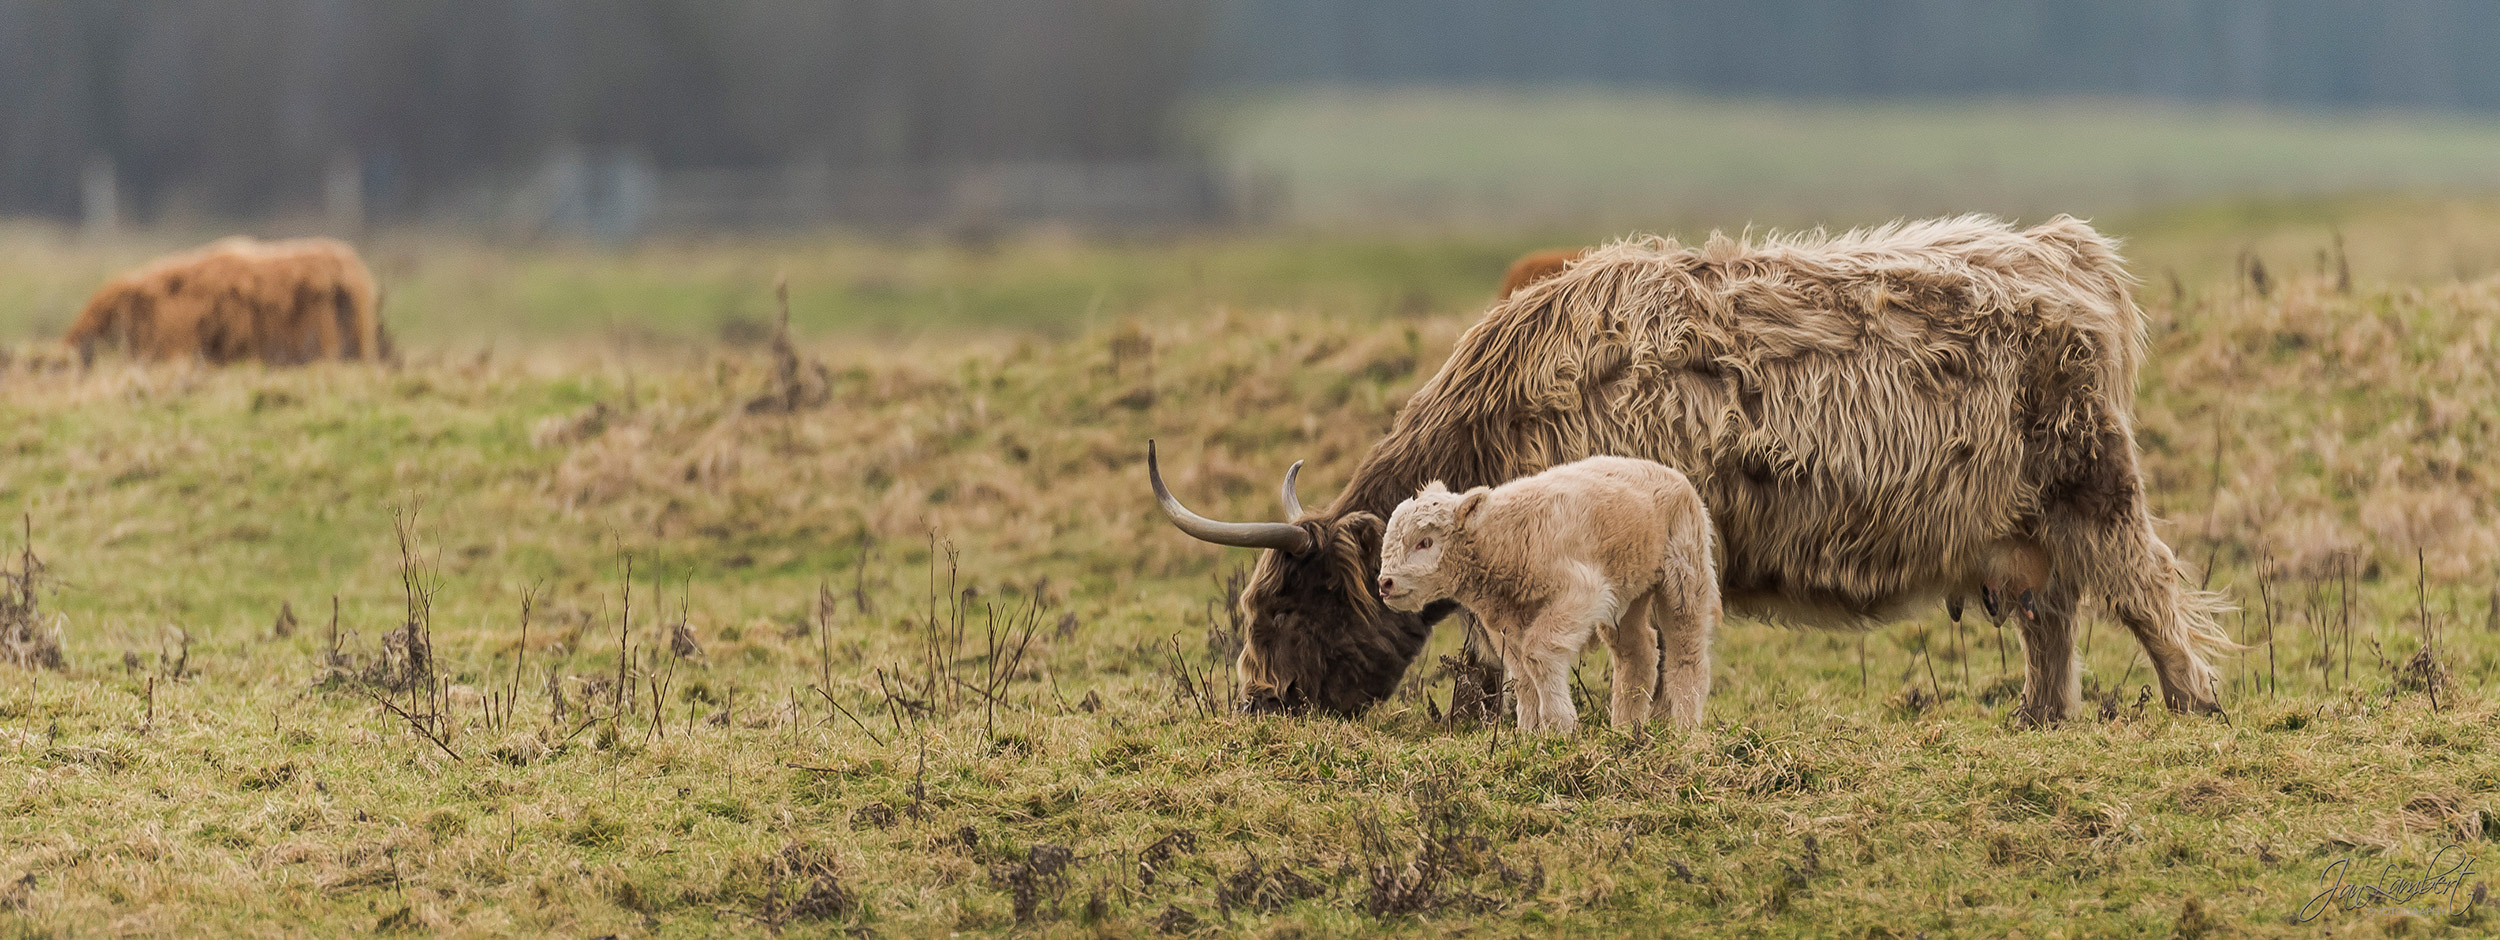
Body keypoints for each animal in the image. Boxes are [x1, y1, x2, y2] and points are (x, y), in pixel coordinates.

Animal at [1370, 457, 1720, 735]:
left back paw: (1685, 728)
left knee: (1687, 652)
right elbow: (1522, 674)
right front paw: (1528, 731)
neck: (1504, 539)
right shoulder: (1506, 620)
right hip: (1627, 592)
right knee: (1638, 652)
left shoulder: (1580, 591)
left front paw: (1559, 725)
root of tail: (1675, 475)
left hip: (1684, 572)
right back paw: (1625, 728)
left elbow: (1537, 654)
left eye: (1425, 542)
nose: (1385, 583)